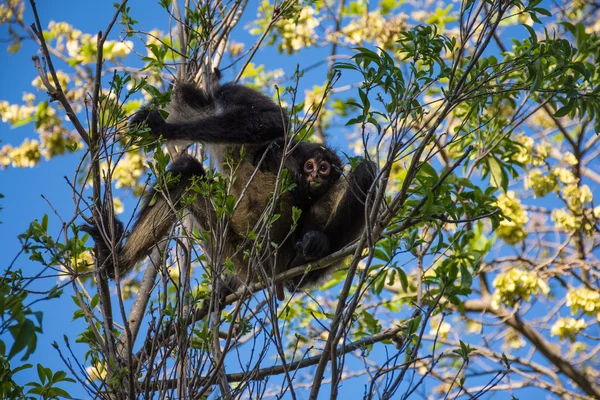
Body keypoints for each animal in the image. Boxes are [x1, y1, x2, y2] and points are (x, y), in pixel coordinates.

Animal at [84, 82, 376, 300]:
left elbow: (275, 121)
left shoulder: (230, 92)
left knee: (365, 170)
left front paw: (163, 128)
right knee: (187, 174)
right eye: (313, 167)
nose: (315, 174)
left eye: (322, 169)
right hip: (234, 251)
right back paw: (113, 260)